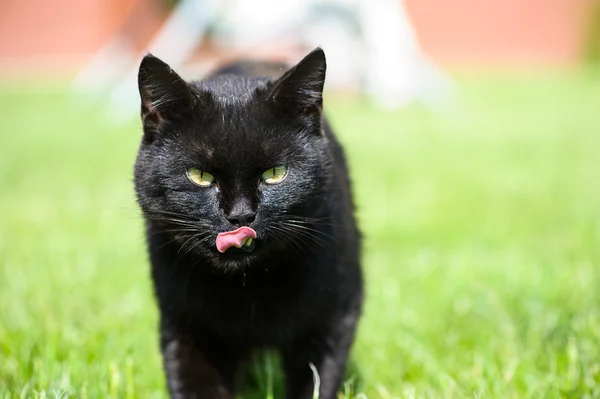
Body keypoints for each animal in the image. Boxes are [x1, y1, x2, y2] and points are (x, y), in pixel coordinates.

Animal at [134, 47, 364, 399]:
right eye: (200, 176)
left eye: (275, 174)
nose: (241, 216)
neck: (249, 287)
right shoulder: (185, 326)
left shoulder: (333, 317)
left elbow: (316, 382)